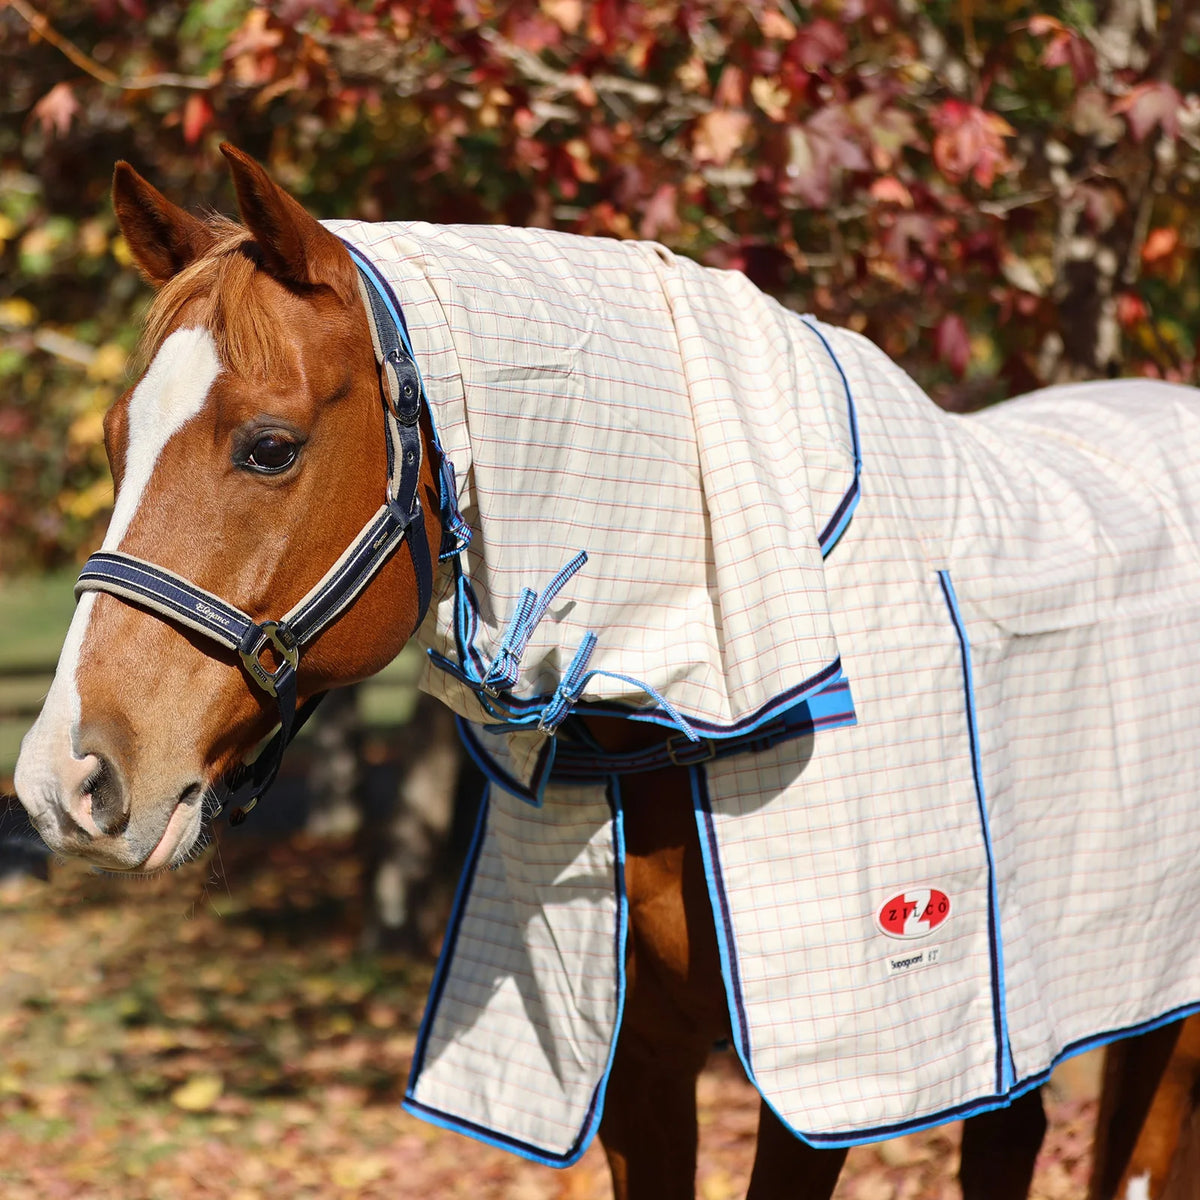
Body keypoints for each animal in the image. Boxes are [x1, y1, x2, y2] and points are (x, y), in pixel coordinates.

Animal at [14, 144, 1200, 1199]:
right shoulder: (637, 1064)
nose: (64, 781)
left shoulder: (830, 1087)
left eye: (269, 446)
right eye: (116, 440)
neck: (685, 721)